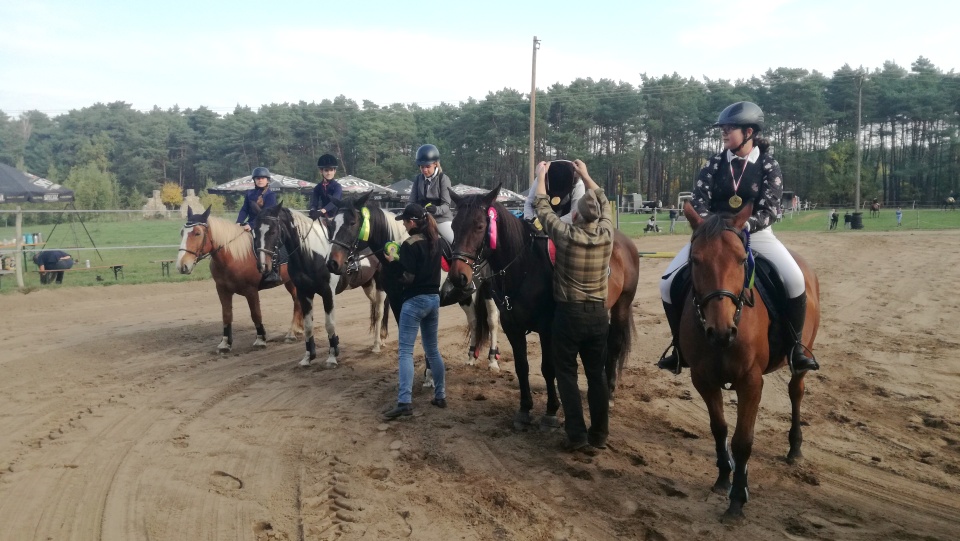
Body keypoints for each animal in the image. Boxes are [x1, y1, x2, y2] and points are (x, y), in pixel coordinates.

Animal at [177, 205, 304, 352]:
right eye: (182, 232)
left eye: (197, 233)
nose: (182, 265)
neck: (234, 257)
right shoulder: (222, 290)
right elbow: (226, 315)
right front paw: (225, 343)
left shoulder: (251, 291)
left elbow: (256, 314)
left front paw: (260, 339)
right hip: (289, 281)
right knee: (297, 300)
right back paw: (298, 329)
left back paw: (292, 332)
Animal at [256, 201, 388, 368]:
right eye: (255, 231)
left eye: (273, 231)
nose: (263, 266)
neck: (311, 254)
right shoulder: (304, 292)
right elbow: (307, 326)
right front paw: (308, 357)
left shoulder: (328, 293)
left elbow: (330, 325)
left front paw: (332, 357)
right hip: (367, 284)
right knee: (377, 307)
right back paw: (382, 338)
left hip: (380, 282)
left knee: (379, 311)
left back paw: (377, 344)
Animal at [326, 192, 502, 374]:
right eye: (332, 224)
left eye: (352, 223)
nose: (332, 263)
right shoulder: (396, 301)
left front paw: (429, 373)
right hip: (464, 295)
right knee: (474, 320)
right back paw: (471, 357)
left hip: (488, 290)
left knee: (492, 320)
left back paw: (492, 361)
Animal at [446, 184, 640, 428]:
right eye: (453, 225)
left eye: (480, 226)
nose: (458, 276)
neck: (524, 265)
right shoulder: (512, 326)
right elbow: (522, 366)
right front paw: (524, 409)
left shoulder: (548, 328)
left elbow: (548, 368)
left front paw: (550, 411)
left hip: (622, 304)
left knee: (614, 345)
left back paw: (611, 394)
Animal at [680, 201, 820, 520]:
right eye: (695, 260)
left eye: (742, 259)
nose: (721, 332)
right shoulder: (703, 379)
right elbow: (719, 428)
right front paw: (723, 477)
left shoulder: (751, 382)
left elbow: (743, 440)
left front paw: (737, 498)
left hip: (801, 359)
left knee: (796, 392)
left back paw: (795, 448)